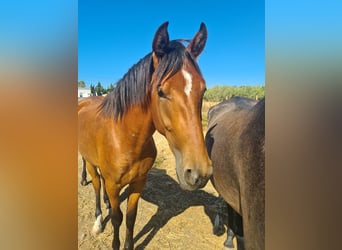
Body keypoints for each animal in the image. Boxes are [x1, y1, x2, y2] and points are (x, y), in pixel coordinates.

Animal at [78, 22, 211, 250]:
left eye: (202, 90)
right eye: (161, 91)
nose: (198, 173)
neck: (125, 138)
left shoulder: (138, 182)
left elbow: (130, 218)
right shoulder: (113, 184)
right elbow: (117, 218)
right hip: (90, 163)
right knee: (96, 185)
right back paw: (97, 221)